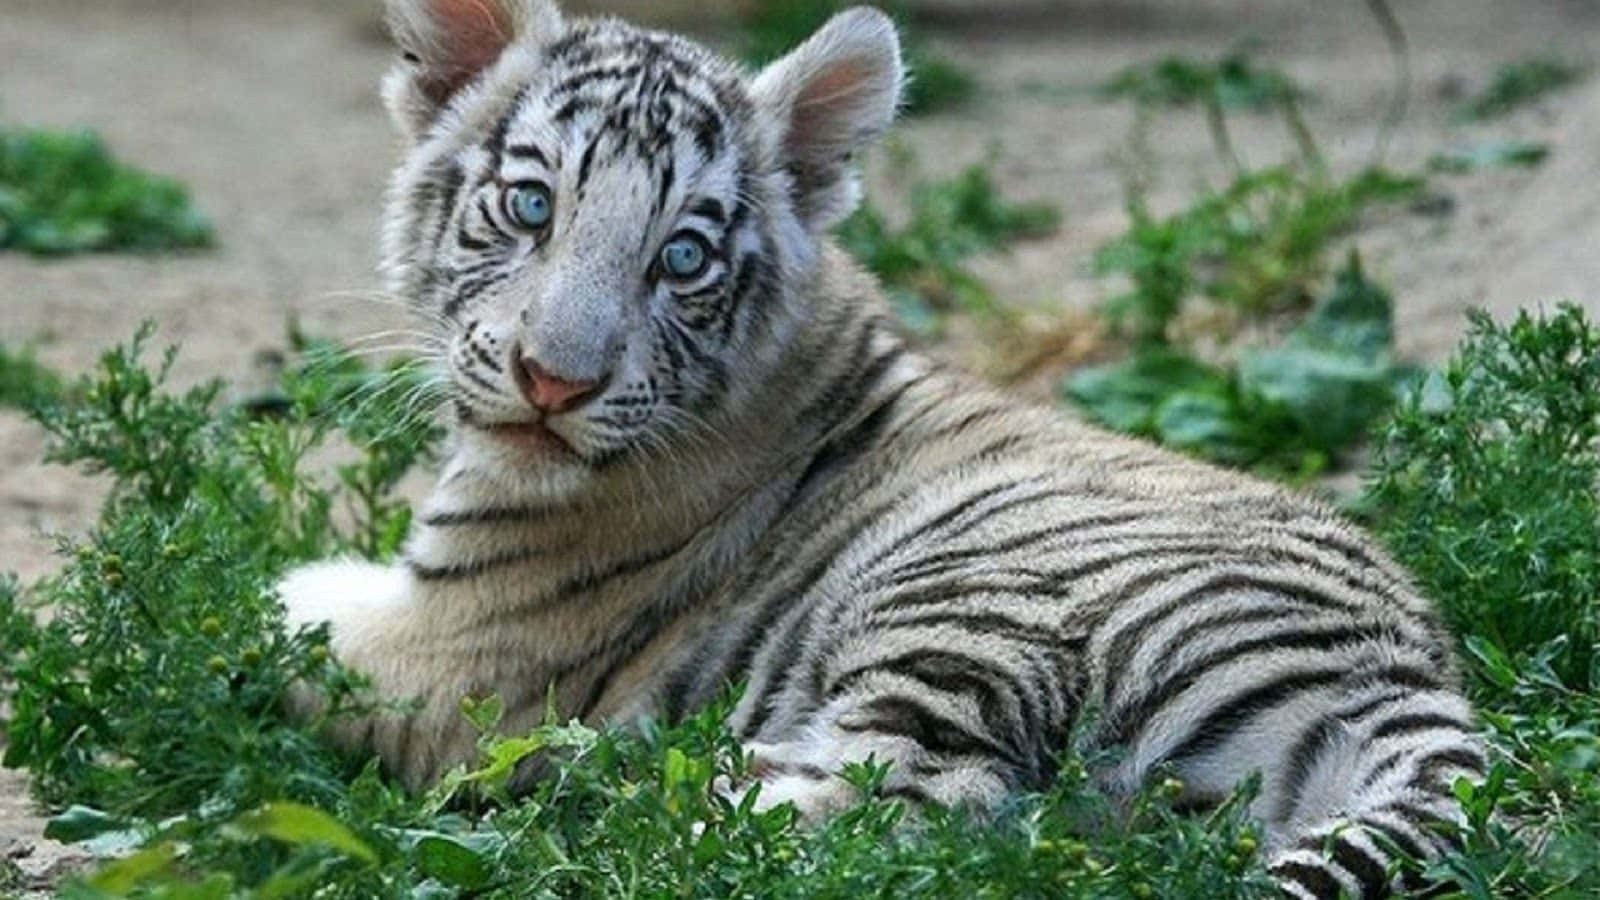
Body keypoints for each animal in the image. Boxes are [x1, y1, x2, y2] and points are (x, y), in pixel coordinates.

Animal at [275, 1, 1487, 896]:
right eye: (530, 206)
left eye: (681, 258)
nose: (555, 383)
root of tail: (1411, 674)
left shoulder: (452, 656)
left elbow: (278, 621)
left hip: (968, 605)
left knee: (910, 805)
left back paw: (622, 798)